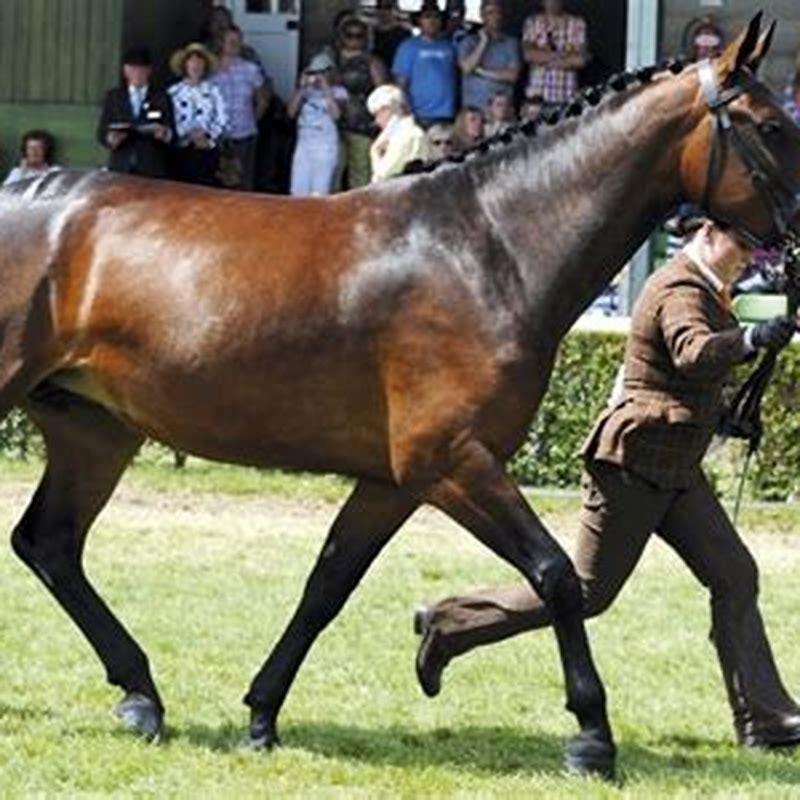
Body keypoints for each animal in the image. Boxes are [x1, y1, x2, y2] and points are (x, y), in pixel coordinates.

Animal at [1, 14, 798, 779]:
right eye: (768, 124)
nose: (791, 247)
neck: (487, 249)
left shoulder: (394, 481)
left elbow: (327, 585)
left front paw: (262, 715)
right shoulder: (450, 461)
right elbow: (556, 576)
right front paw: (592, 737)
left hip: (95, 429)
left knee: (50, 543)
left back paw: (141, 695)